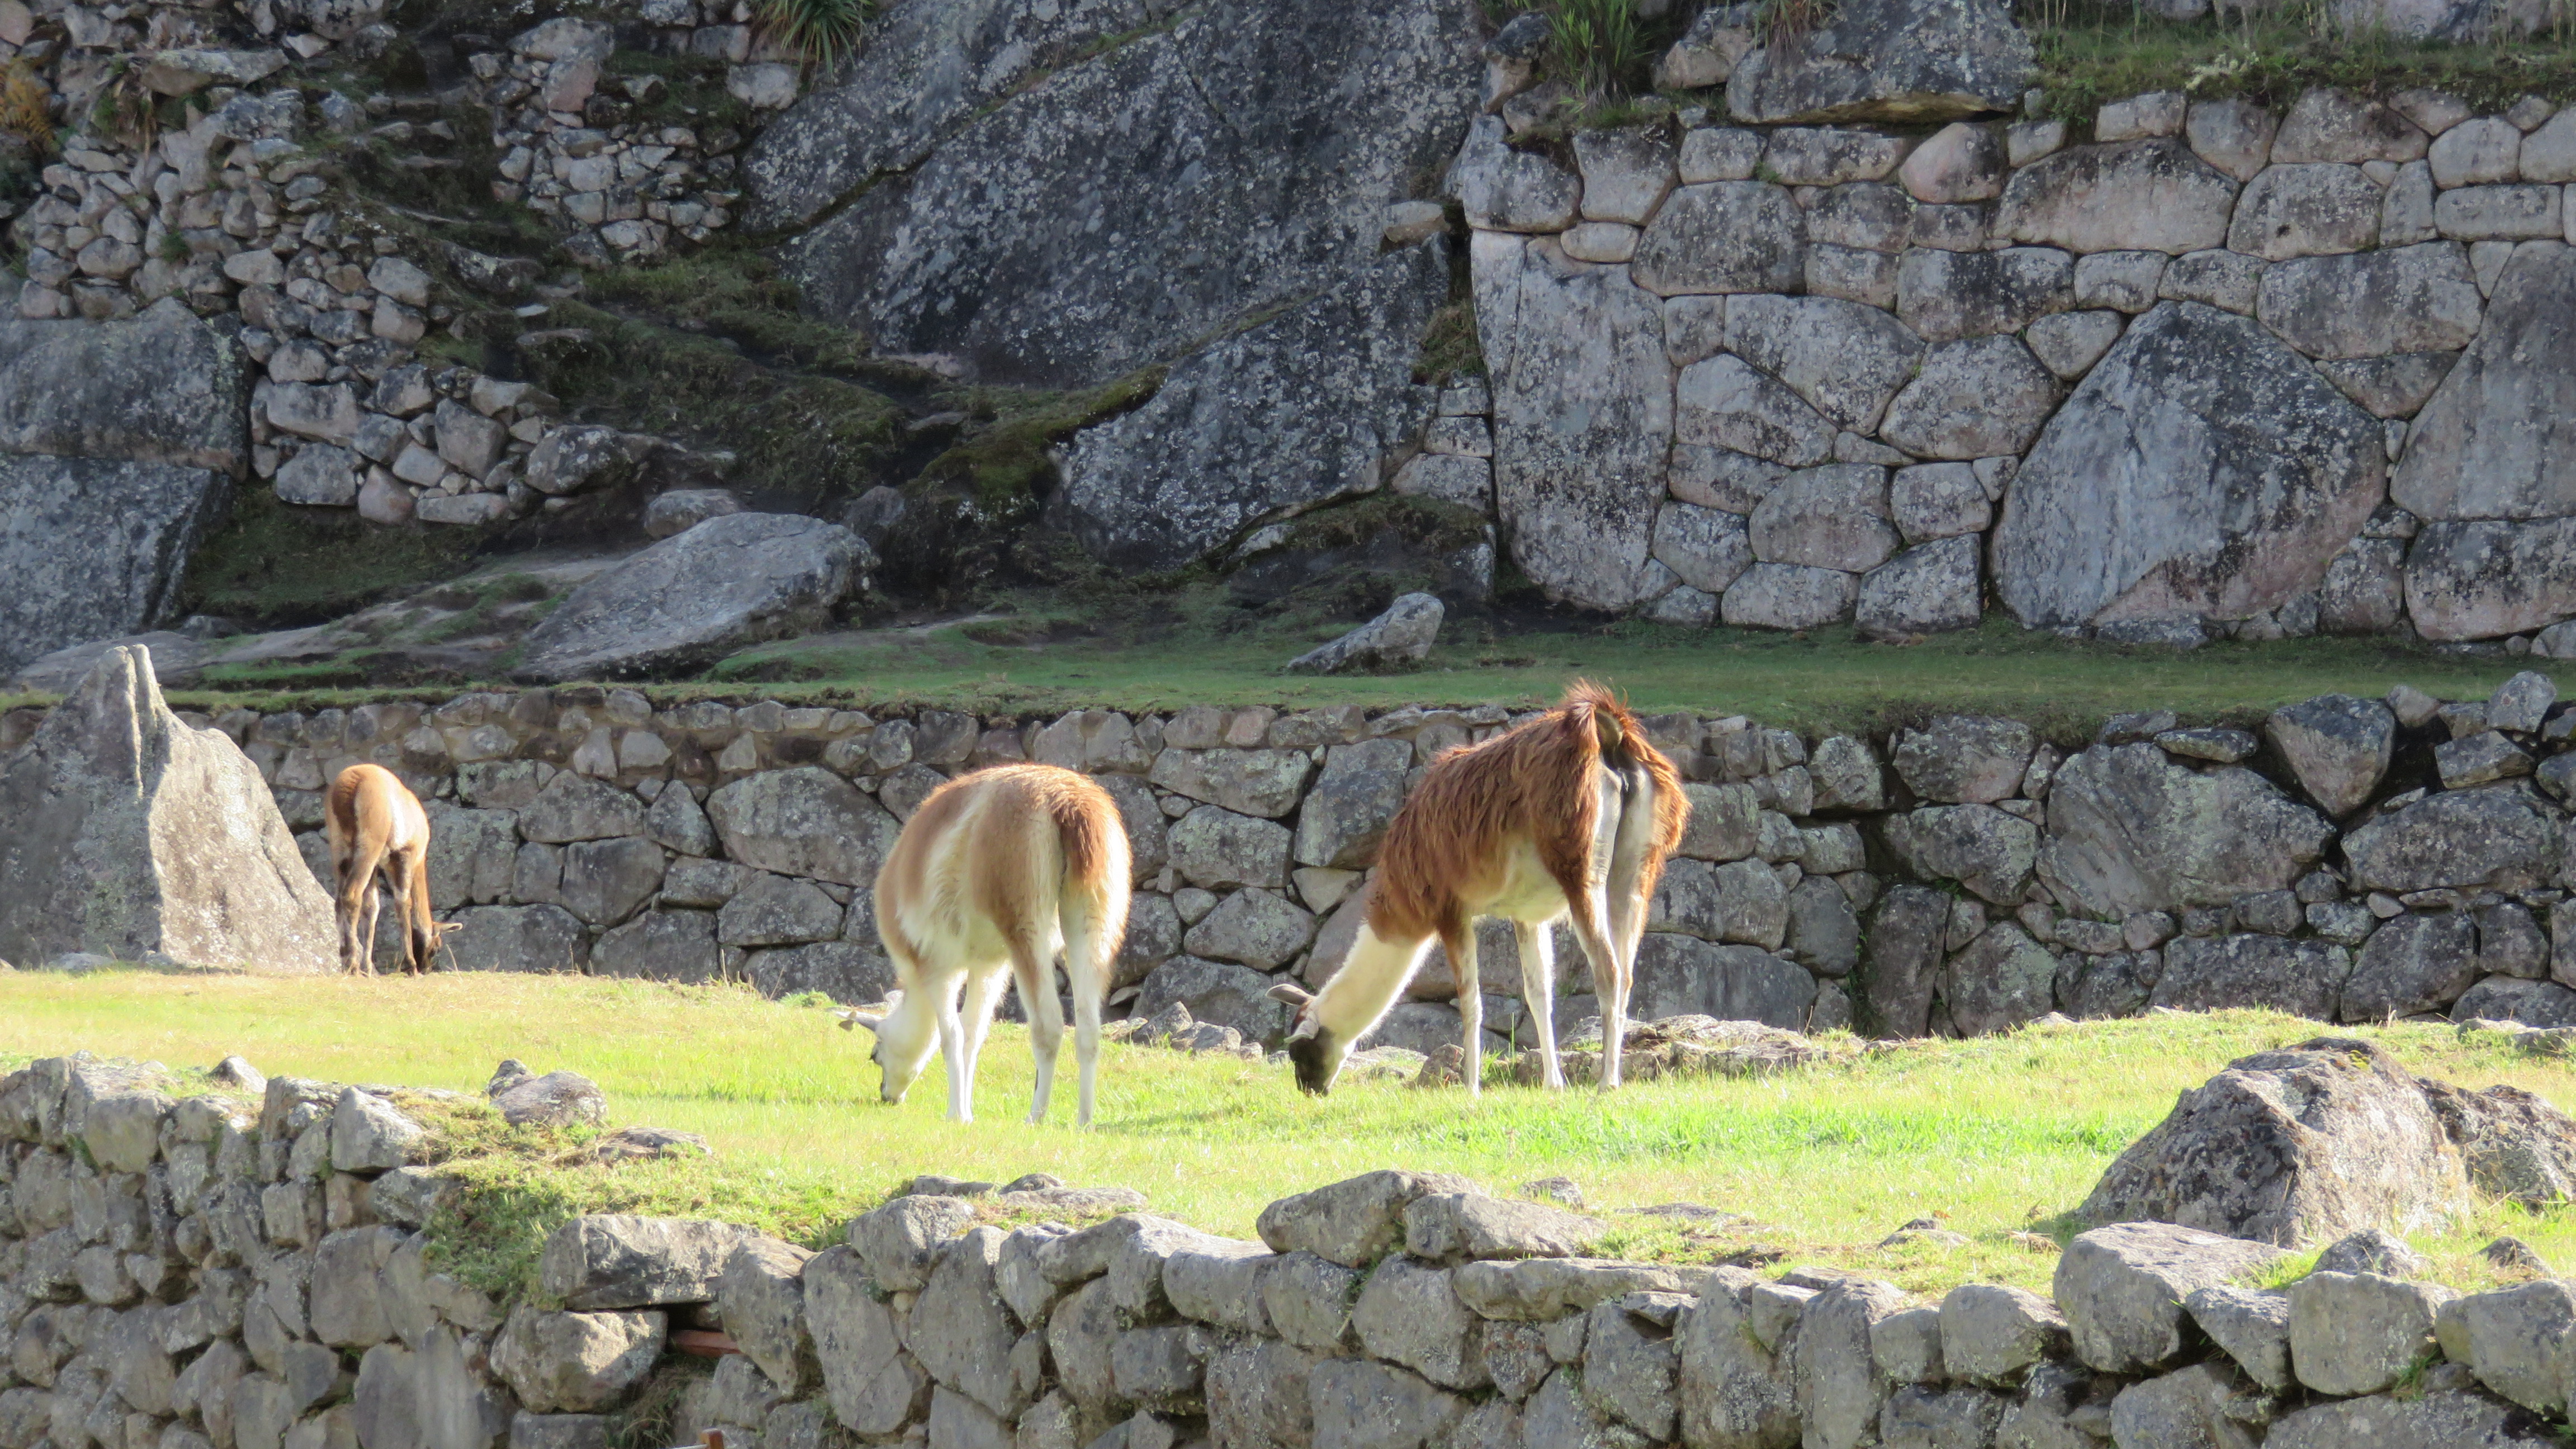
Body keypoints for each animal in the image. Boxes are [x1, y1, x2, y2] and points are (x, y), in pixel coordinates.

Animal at [325, 764, 462, 976]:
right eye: (437, 947)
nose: (426, 968)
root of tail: (349, 783)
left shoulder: (378, 866)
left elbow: (372, 907)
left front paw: (369, 969)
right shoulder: (405, 854)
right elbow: (404, 901)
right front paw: (411, 966)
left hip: (340, 852)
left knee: (340, 902)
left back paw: (347, 964)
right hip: (368, 847)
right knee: (351, 895)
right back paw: (352, 965)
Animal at [835, 763, 1131, 1126]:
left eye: (875, 1054)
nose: (886, 1095)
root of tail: (1069, 802)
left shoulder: (937, 964)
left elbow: (951, 1036)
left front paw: (955, 1114)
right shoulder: (988, 965)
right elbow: (973, 1035)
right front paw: (967, 1113)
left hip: (1023, 917)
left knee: (1048, 1025)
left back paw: (1035, 1117)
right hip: (1095, 916)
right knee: (1088, 1028)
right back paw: (1085, 1122)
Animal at [1267, 681, 1688, 1097]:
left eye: (1300, 1052)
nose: (1309, 1089)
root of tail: (1604, 732)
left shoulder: (1449, 909)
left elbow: (1471, 1002)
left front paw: (1471, 1088)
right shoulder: (1526, 913)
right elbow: (1538, 994)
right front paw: (1553, 1084)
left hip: (1582, 870)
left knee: (1608, 969)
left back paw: (1607, 1082)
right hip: (1635, 872)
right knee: (1627, 971)